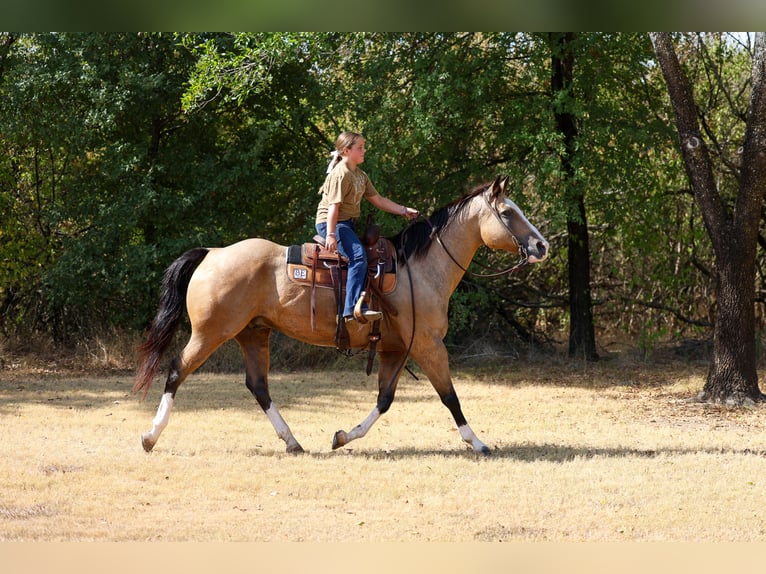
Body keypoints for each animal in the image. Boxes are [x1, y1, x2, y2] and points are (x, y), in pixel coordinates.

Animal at [132, 175, 549, 455]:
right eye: (508, 212)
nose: (542, 246)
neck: (419, 269)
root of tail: (212, 253)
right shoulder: (429, 345)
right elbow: (450, 397)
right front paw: (477, 442)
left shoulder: (396, 349)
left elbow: (385, 399)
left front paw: (343, 436)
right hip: (210, 334)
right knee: (176, 371)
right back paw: (150, 436)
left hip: (253, 334)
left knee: (258, 386)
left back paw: (293, 442)